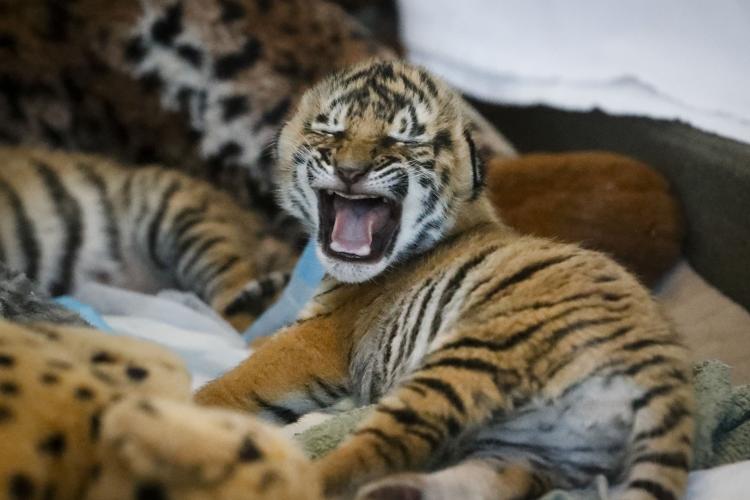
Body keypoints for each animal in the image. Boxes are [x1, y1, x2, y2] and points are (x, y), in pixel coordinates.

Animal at [195, 60, 694, 500]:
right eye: (331, 131)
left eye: (400, 138)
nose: (351, 171)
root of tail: (661, 367)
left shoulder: (317, 337)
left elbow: (236, 381)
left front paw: (192, 404)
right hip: (540, 446)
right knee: (494, 479)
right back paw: (400, 492)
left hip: (466, 362)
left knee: (371, 454)